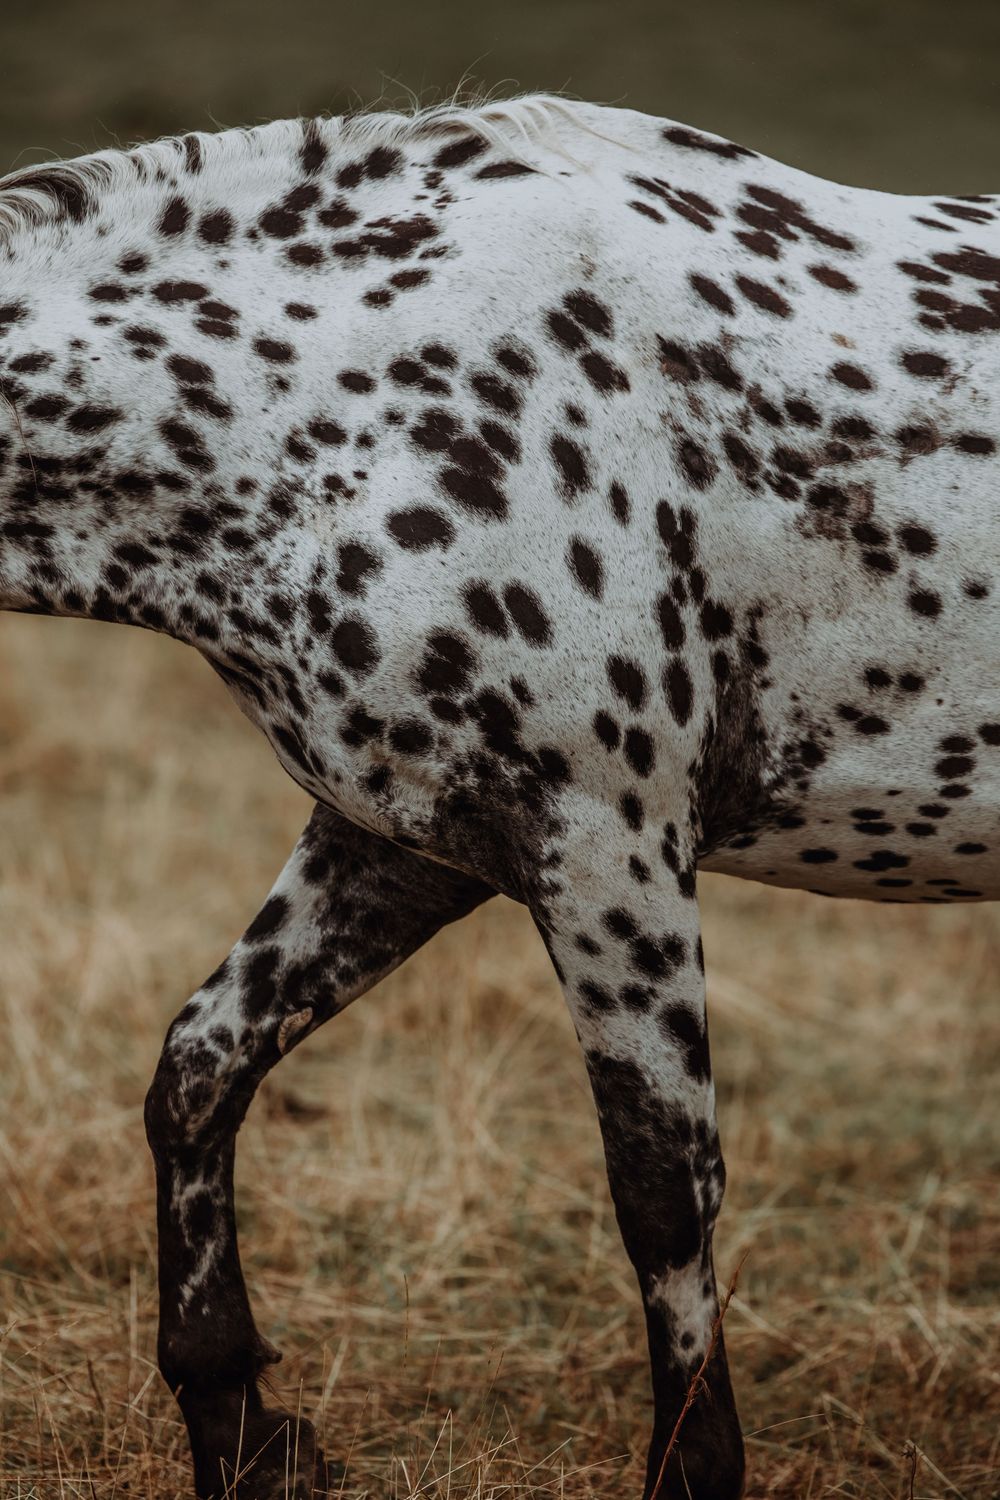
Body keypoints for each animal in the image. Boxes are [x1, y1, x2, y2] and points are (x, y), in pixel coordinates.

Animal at [1, 93, 998, 1498]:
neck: (354, 401)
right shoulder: (400, 841)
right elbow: (197, 1068)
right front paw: (242, 1434)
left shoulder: (607, 847)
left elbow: (661, 1187)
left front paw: (693, 1470)